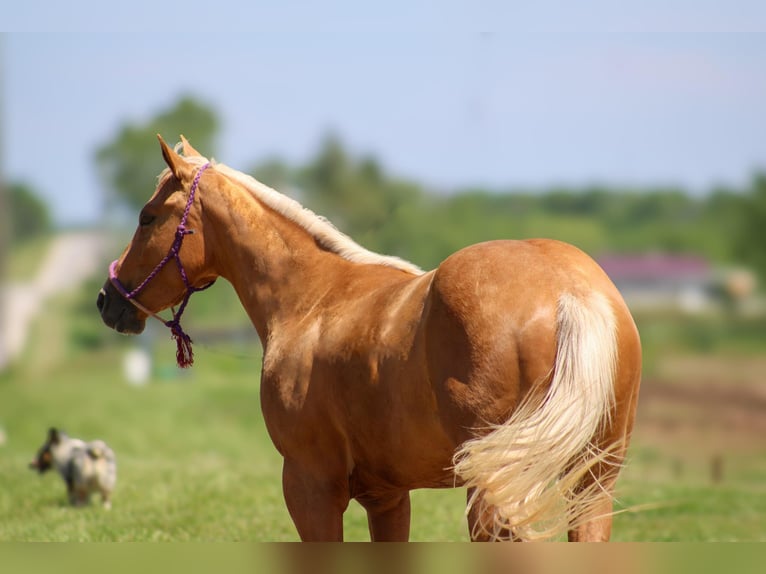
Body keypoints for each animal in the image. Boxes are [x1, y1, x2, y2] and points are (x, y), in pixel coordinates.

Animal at [99, 136, 644, 544]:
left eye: (147, 217)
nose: (108, 300)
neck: (311, 299)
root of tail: (568, 290)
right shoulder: (387, 496)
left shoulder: (310, 485)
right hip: (591, 485)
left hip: (497, 490)